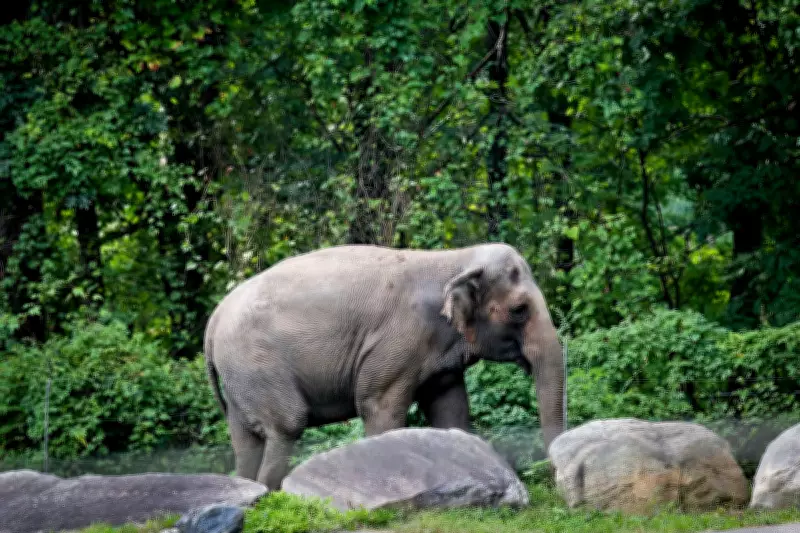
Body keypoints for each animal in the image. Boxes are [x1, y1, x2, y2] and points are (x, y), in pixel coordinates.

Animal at [203, 242, 566, 491]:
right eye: (519, 310)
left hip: (239, 377)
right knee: (287, 425)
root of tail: (214, 319)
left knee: (245, 439)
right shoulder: (398, 342)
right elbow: (380, 407)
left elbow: (450, 409)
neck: (455, 258)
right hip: (256, 364)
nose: (550, 479)